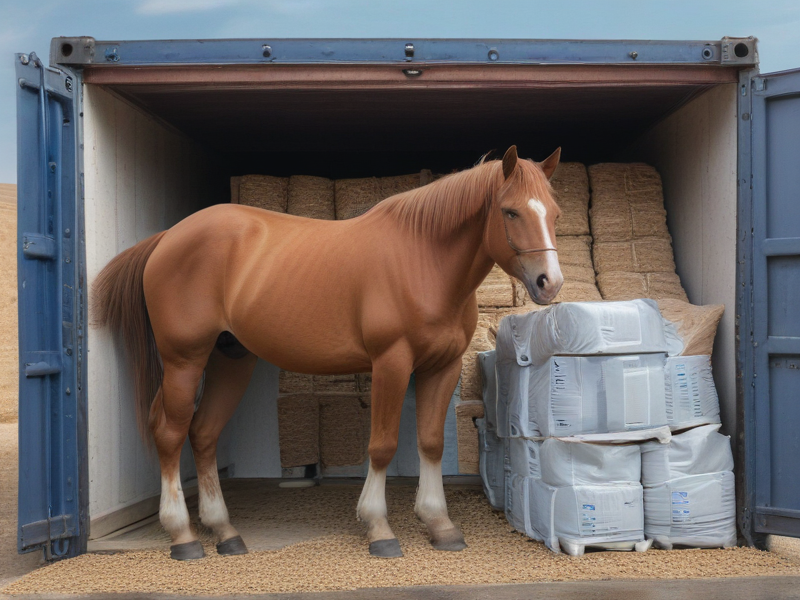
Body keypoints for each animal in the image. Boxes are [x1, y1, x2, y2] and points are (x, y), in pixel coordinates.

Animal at [94, 148, 564, 560]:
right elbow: (382, 445)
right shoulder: (391, 363)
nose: (550, 283)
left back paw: (225, 532)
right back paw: (184, 536)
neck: (421, 260)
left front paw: (440, 526)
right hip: (184, 361)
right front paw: (379, 529)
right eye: (510, 211)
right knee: (170, 434)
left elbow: (431, 442)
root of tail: (168, 238)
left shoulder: (442, 367)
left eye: (555, 213)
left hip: (230, 359)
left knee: (203, 434)